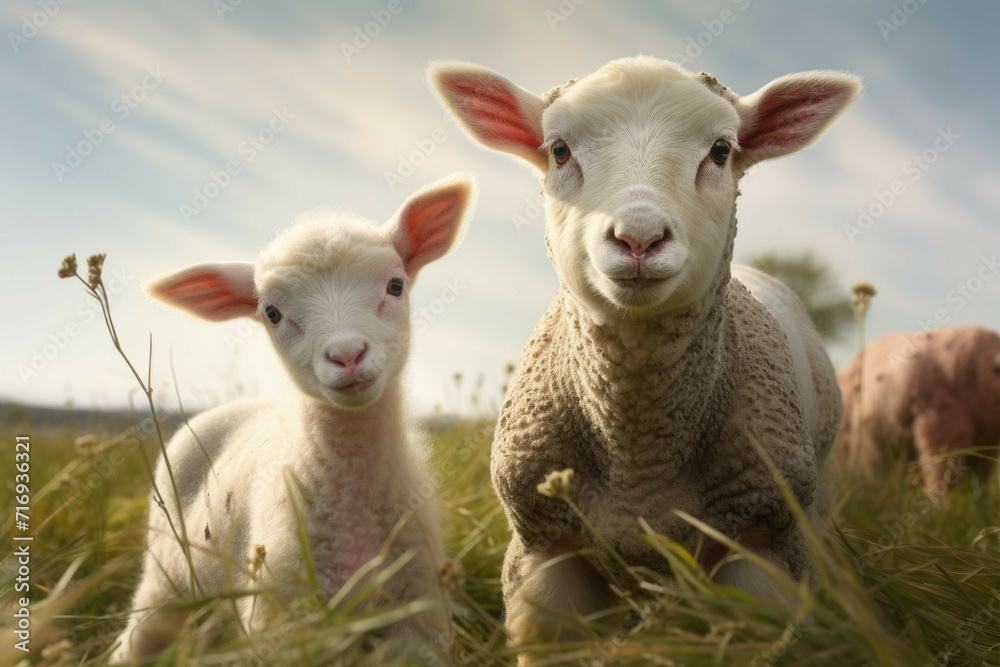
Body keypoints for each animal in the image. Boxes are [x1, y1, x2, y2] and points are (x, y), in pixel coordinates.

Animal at [111, 172, 478, 664]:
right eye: (272, 313)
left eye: (396, 286)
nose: (347, 355)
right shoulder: (284, 618)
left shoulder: (416, 612)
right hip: (164, 576)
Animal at [434, 58, 864, 656]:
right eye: (559, 150)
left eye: (721, 150)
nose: (639, 239)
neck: (641, 458)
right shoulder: (543, 552)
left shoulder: (765, 549)